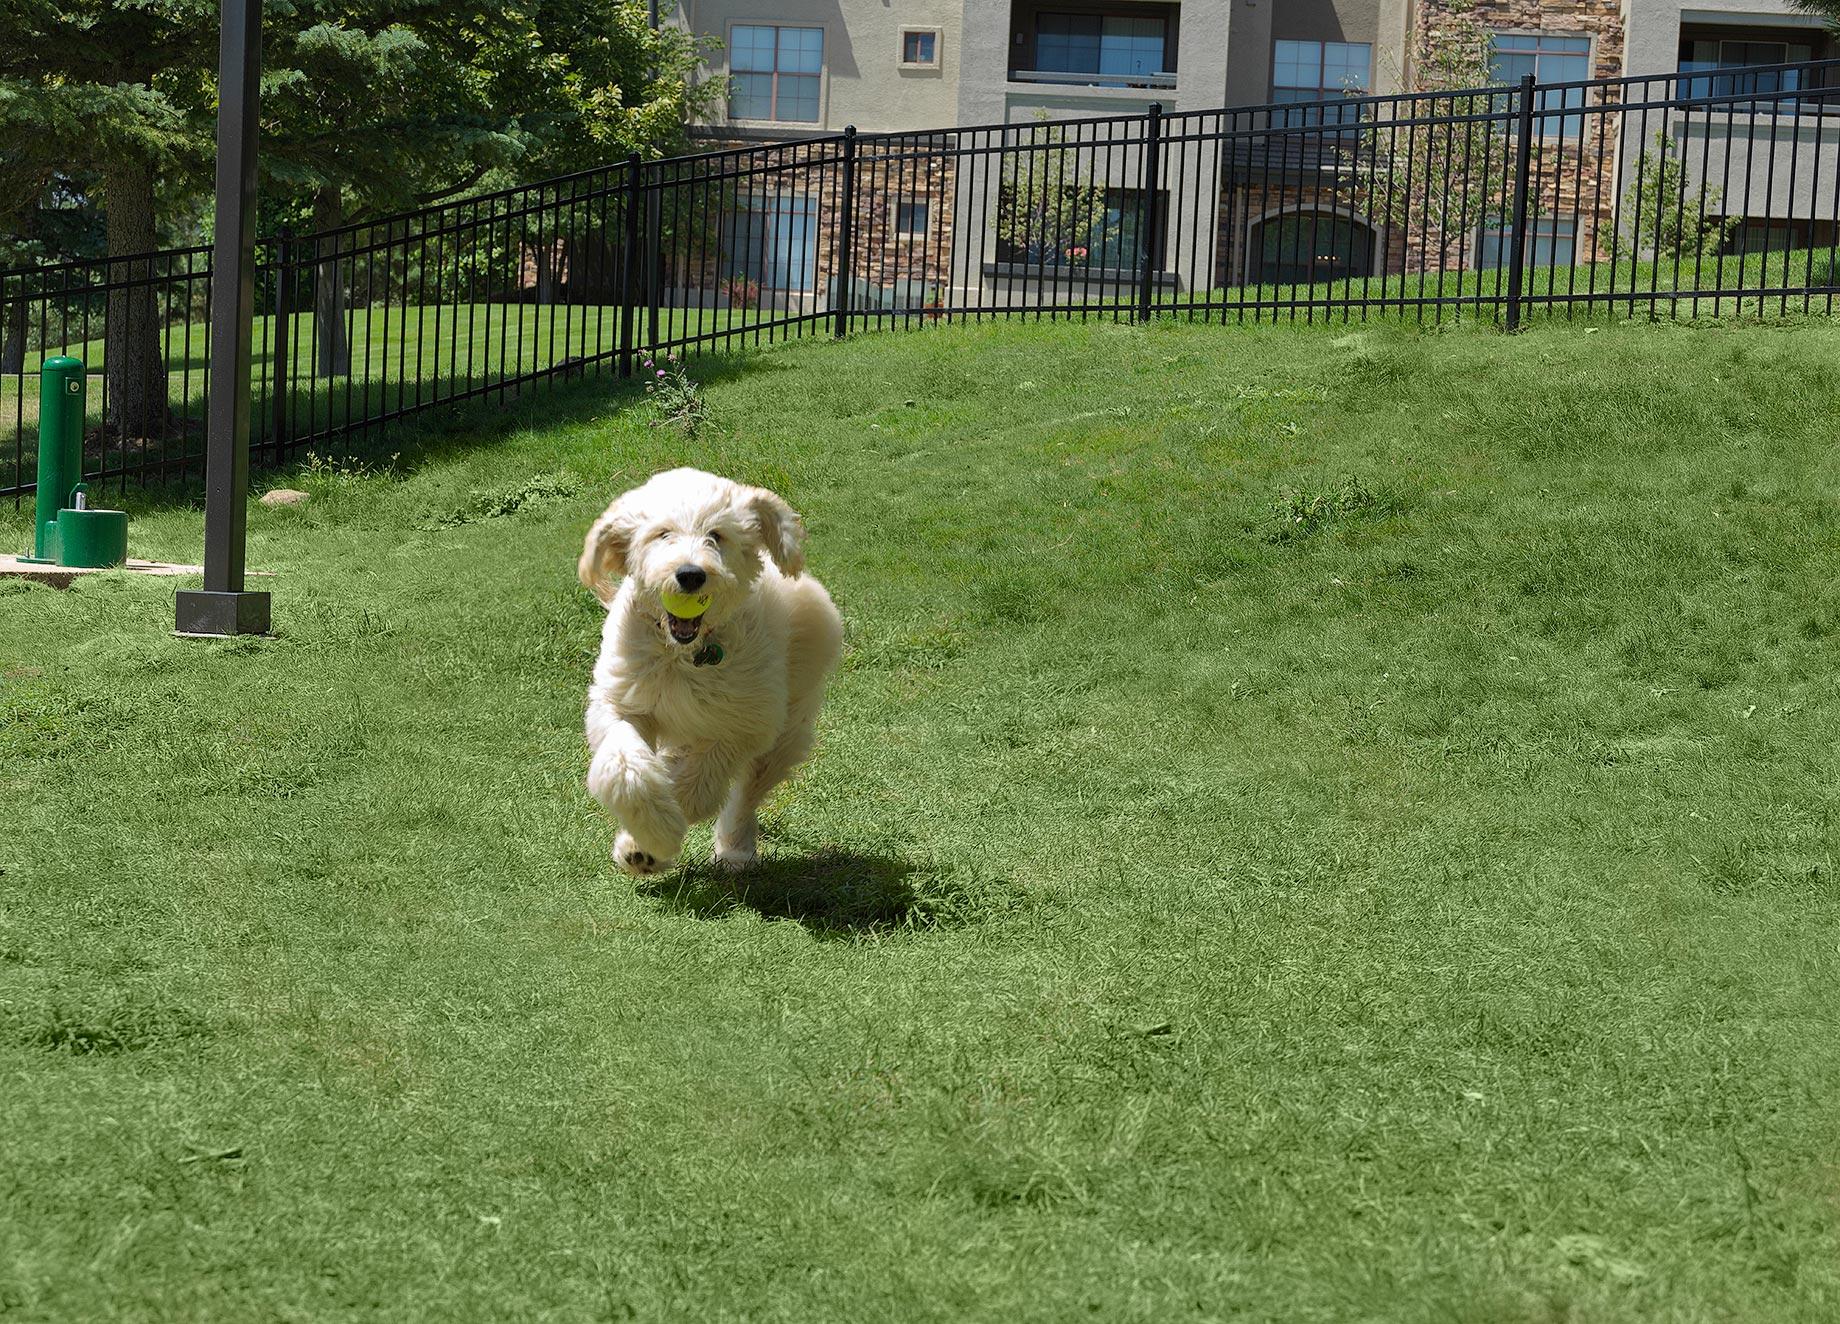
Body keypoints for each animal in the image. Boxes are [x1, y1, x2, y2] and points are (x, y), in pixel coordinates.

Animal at [577, 468, 842, 878]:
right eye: (663, 533)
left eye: (716, 535)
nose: (690, 575)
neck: (684, 654)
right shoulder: (622, 701)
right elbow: (624, 767)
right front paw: (649, 838)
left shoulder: (740, 724)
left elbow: (695, 787)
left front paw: (651, 841)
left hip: (787, 723)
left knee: (748, 790)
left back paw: (735, 849)